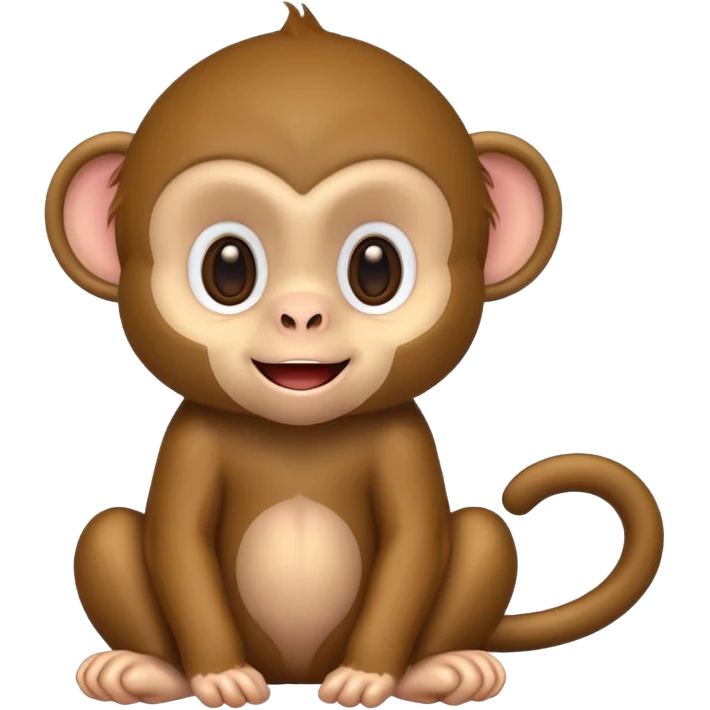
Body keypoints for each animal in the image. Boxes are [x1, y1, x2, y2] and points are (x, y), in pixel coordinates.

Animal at [45, 3, 664, 708]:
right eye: (227, 268)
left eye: (376, 268)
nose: (301, 314)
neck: (299, 438)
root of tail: (293, 674)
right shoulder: (191, 440)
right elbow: (178, 542)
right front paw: (217, 676)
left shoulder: (403, 440)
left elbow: (414, 542)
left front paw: (370, 675)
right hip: (119, 560)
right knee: (106, 536)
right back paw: (142, 670)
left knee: (482, 537)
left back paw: (445, 669)